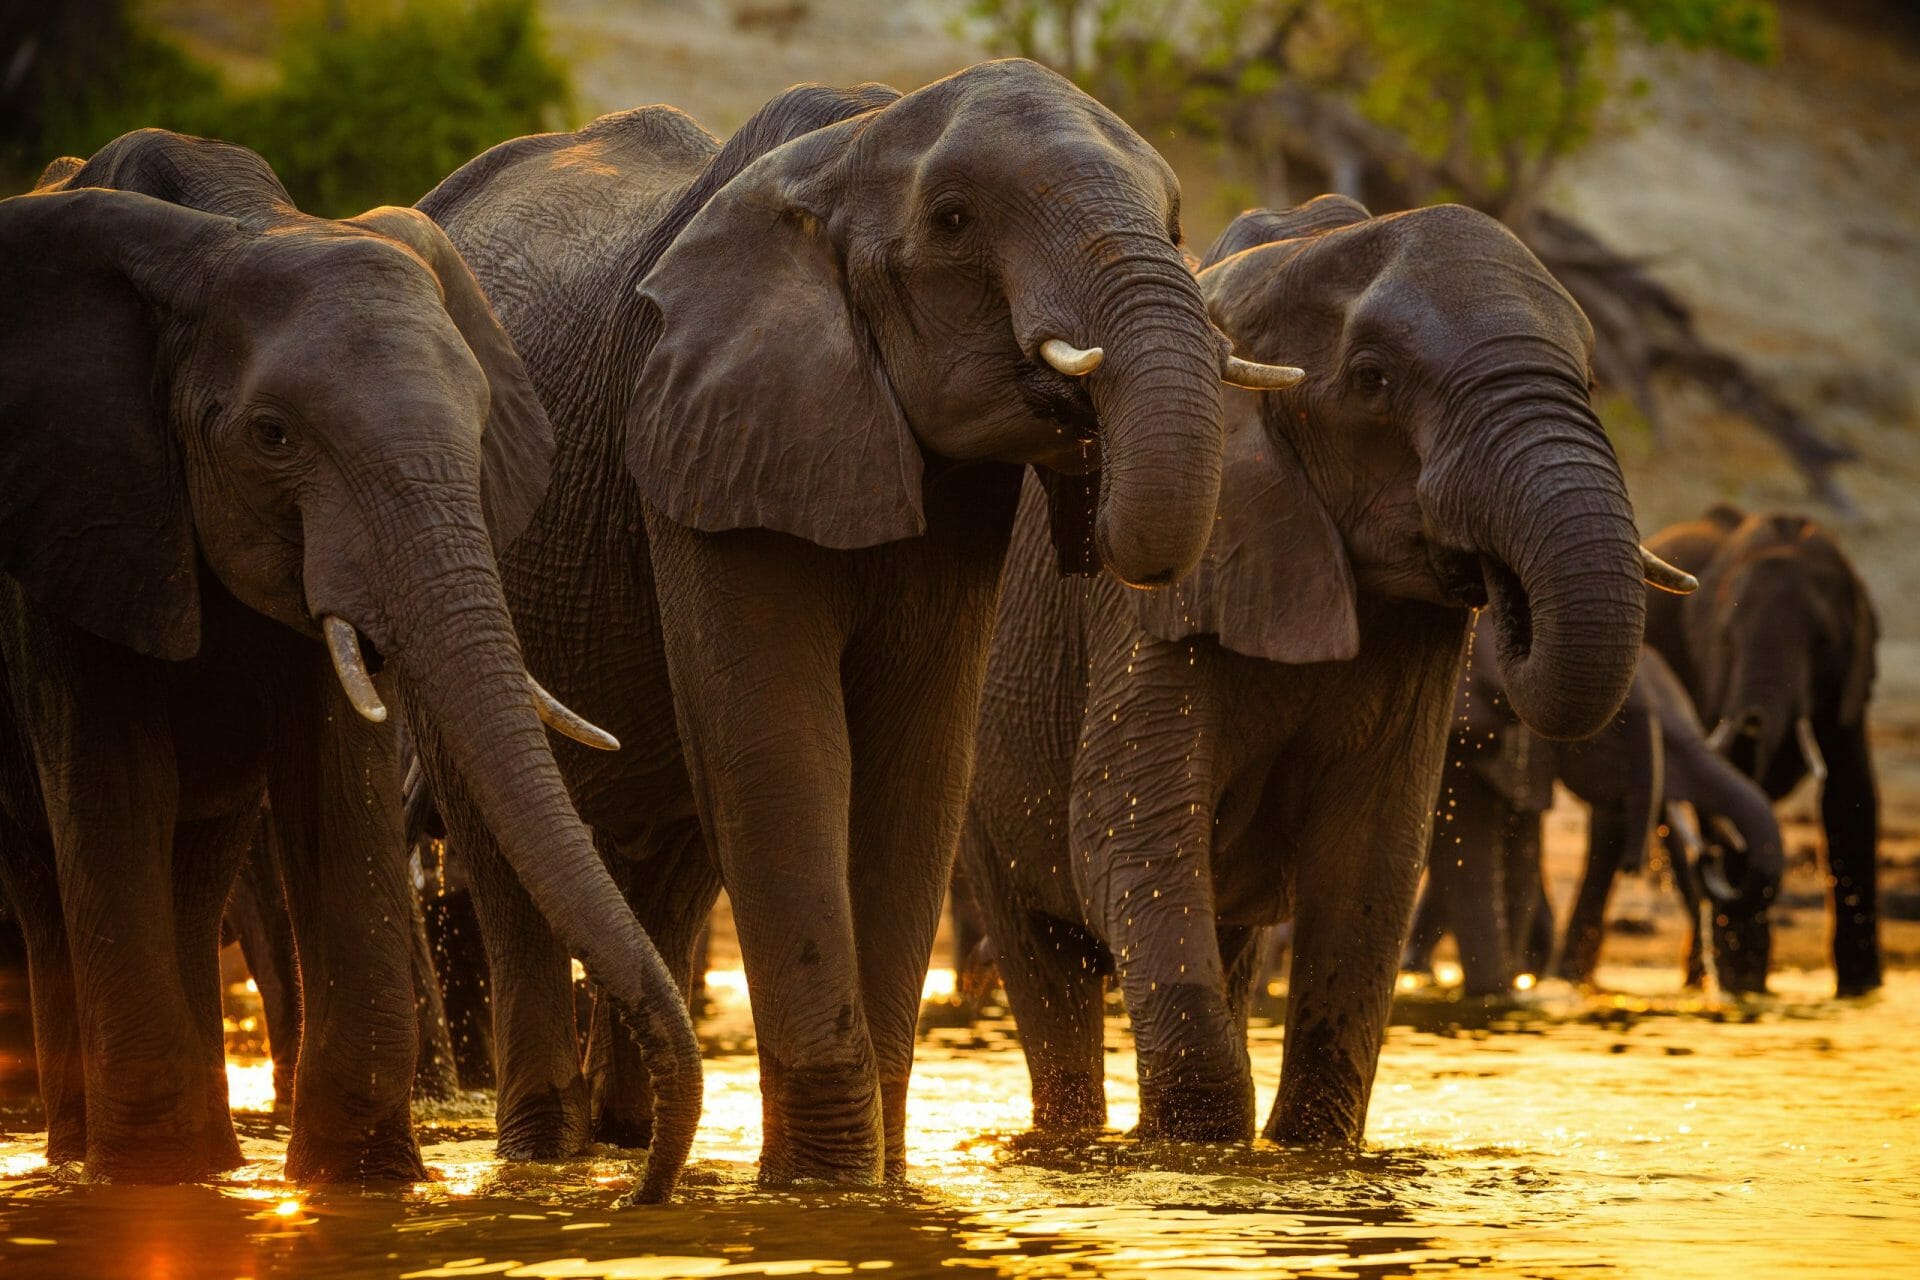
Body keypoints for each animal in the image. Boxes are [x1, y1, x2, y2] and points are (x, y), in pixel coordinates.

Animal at [0, 124, 698, 1197]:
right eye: (271, 436)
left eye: (481, 423)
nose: (643, 1191)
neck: (227, 232)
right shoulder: (81, 507)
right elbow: (112, 781)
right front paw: (150, 1183)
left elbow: (334, 775)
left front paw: (359, 1183)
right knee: (53, 878)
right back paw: (104, 1161)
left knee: (198, 869)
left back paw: (210, 1163)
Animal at [410, 59, 1297, 1182]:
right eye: (954, 219)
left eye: (1177, 221)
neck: (854, 149)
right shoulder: (711, 426)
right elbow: (779, 751)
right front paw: (821, 1187)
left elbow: (915, 765)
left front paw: (870, 1186)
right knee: (505, 861)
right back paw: (553, 1161)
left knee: (670, 862)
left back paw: (632, 1141)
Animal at [960, 195, 1697, 1143]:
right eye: (1373, 380)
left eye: (1592, 381)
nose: (1505, 582)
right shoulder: (1157, 596)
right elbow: (1132, 837)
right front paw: (1195, 1155)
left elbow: (1369, 860)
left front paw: (1307, 1158)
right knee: (1045, 962)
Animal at [1405, 614, 1789, 997]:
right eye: (1625, 729)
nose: (1711, 857)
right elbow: (1471, 850)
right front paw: (1496, 995)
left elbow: (1520, 860)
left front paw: (1515, 994)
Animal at [1643, 506, 1881, 997]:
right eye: (1726, 638)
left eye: (1821, 641)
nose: (1751, 718)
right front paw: (1744, 986)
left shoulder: (1851, 677)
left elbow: (1850, 792)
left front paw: (1862, 991)